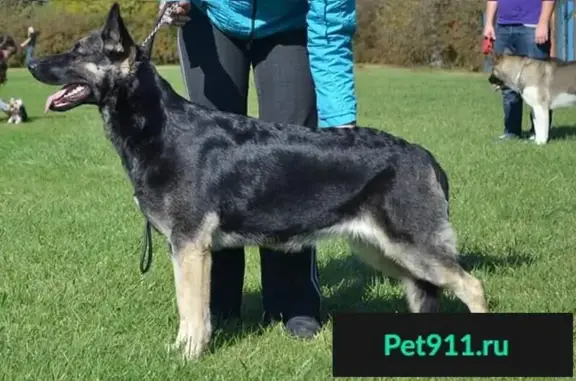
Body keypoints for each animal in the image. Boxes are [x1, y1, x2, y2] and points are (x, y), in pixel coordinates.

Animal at [25, 2, 486, 360]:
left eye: (76, 52)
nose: (30, 64)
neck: (157, 126)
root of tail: (423, 155)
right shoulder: (188, 249)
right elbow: (190, 310)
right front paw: (181, 351)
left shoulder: (190, 248)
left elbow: (191, 310)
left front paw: (189, 356)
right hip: (383, 250)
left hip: (411, 248)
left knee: (473, 286)